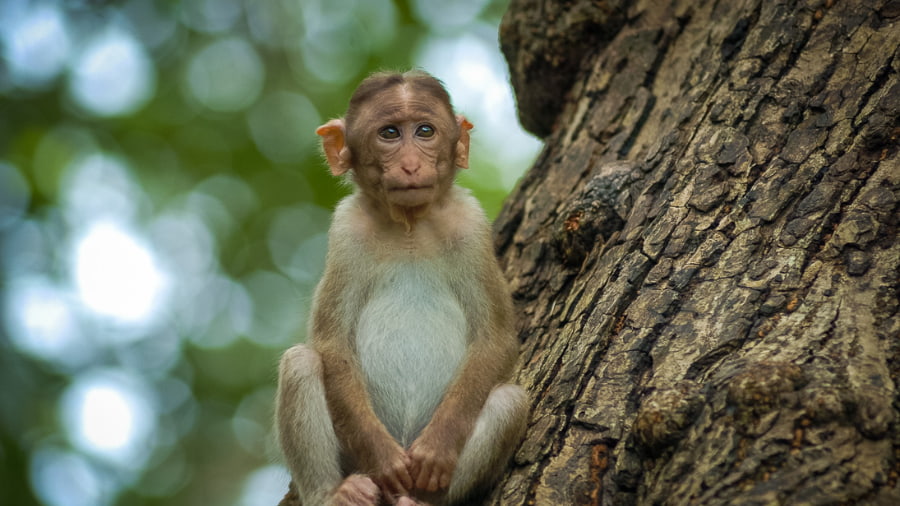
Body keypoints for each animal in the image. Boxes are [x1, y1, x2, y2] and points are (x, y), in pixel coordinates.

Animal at [275, 70, 528, 506]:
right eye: (390, 133)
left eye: (425, 131)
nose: (410, 166)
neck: (410, 224)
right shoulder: (346, 230)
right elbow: (330, 343)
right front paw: (384, 458)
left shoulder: (471, 224)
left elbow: (495, 339)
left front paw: (436, 449)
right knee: (300, 362)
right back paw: (336, 493)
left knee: (510, 400)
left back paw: (420, 500)